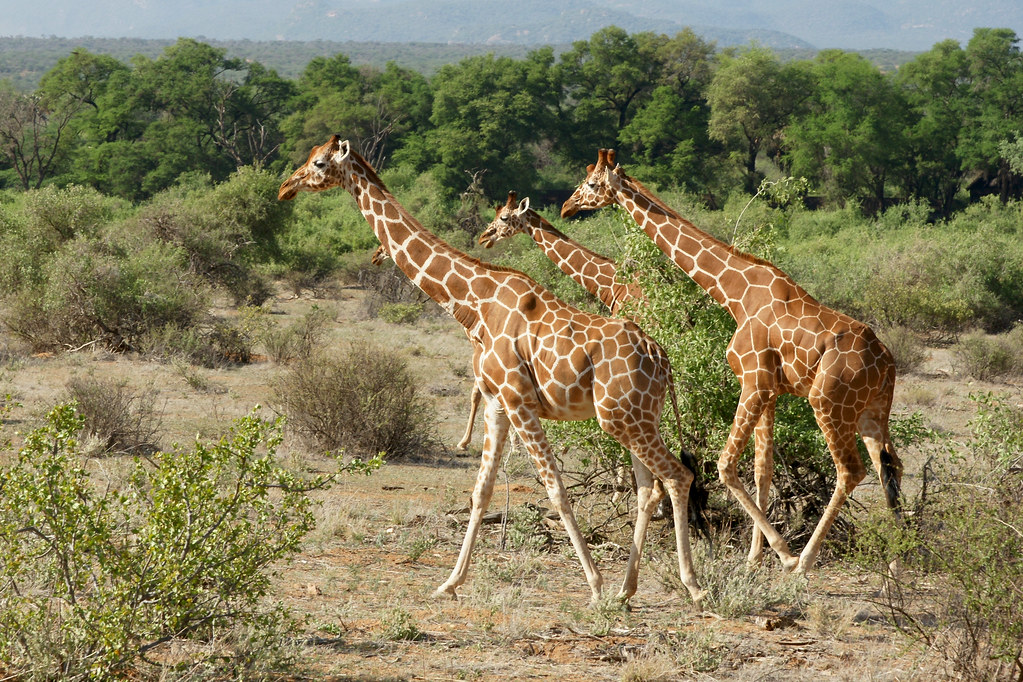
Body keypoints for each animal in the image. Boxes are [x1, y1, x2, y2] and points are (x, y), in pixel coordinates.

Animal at [284, 135, 707, 605]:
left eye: (319, 164)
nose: (285, 188)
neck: (473, 304)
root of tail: (663, 360)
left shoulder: (519, 401)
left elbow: (556, 490)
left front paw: (594, 585)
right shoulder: (496, 402)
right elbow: (481, 491)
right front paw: (449, 582)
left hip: (622, 418)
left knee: (677, 475)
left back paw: (690, 587)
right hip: (634, 419)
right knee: (649, 487)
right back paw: (627, 590)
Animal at [560, 148, 904, 572]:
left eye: (591, 184)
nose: (566, 206)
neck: (734, 293)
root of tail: (887, 363)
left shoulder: (753, 382)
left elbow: (725, 465)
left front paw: (783, 553)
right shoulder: (771, 390)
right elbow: (763, 469)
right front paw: (756, 555)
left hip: (828, 403)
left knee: (851, 471)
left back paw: (806, 560)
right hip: (873, 410)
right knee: (890, 465)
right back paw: (897, 561)